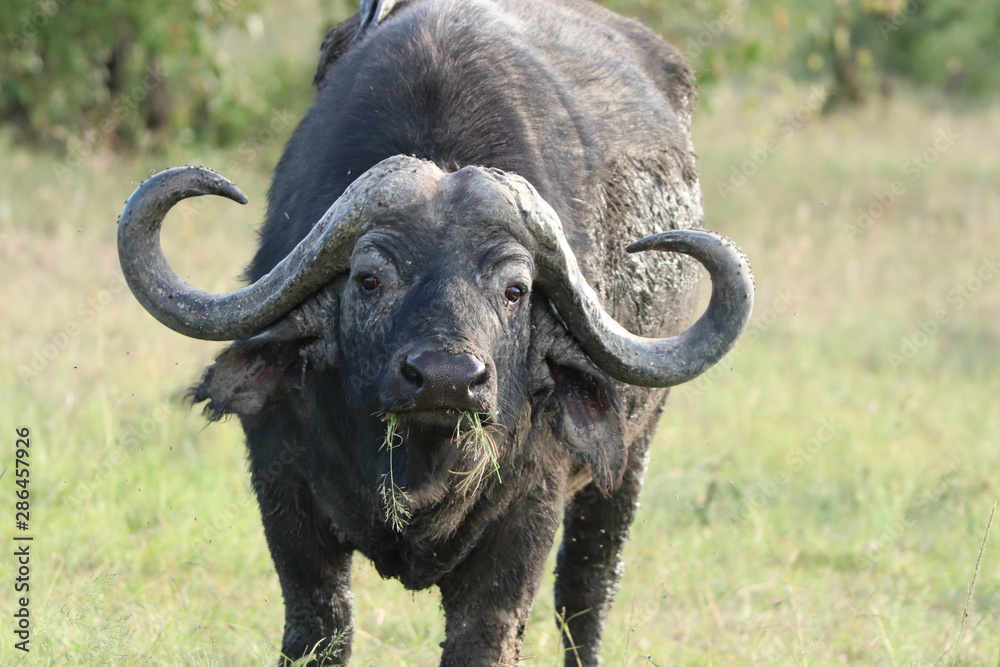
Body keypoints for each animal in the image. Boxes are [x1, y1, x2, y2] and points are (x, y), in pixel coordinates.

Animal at [117, 0, 753, 664]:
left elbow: (486, 633)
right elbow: (319, 626)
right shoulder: (283, 487)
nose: (447, 380)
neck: (421, 466)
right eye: (369, 279)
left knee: (586, 595)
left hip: (630, 460)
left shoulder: (526, 517)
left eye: (515, 290)